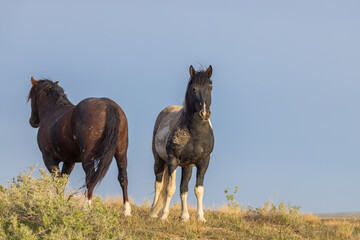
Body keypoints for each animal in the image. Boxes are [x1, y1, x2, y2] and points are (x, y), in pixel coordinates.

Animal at [27, 77, 131, 216]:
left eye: (31, 96)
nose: (32, 121)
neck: (52, 111)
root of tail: (108, 105)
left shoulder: (49, 159)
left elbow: (57, 182)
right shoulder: (69, 162)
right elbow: (62, 182)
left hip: (88, 156)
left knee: (90, 177)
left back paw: (87, 206)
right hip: (121, 152)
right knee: (122, 176)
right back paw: (127, 210)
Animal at [151, 65, 214, 221]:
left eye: (210, 87)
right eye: (194, 88)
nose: (205, 113)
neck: (195, 134)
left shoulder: (204, 162)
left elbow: (198, 189)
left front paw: (200, 217)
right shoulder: (173, 161)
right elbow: (169, 189)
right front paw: (164, 216)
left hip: (187, 167)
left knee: (183, 188)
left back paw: (184, 216)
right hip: (159, 160)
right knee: (158, 185)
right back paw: (153, 212)